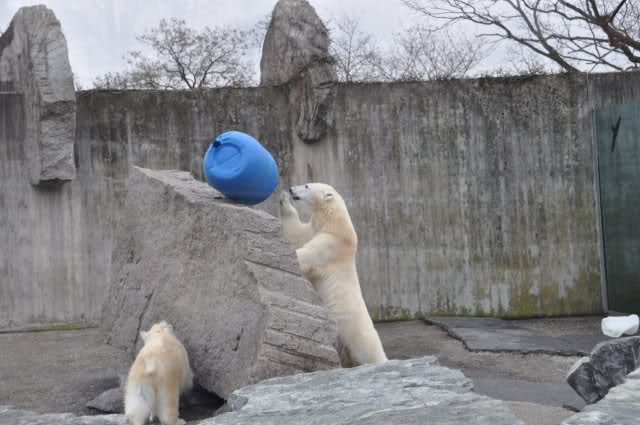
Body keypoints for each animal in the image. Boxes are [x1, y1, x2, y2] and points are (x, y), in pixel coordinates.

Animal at [280, 183, 387, 367]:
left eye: (307, 185)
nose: (291, 189)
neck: (334, 223)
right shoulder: (313, 231)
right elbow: (296, 234)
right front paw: (282, 199)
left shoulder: (331, 245)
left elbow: (304, 258)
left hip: (357, 332)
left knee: (371, 351)